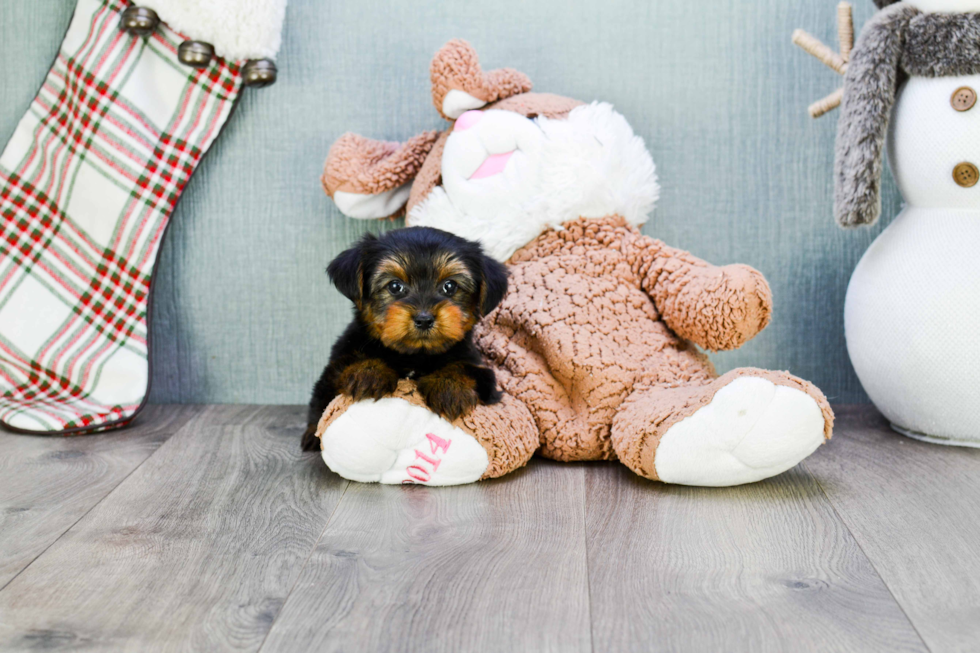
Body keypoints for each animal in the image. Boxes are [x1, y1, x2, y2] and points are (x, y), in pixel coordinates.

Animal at [302, 227, 510, 450]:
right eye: (395, 286)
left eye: (450, 286)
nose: (424, 319)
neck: (414, 355)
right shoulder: (340, 358)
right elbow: (346, 364)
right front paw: (368, 372)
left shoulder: (482, 372)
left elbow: (464, 367)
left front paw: (450, 386)